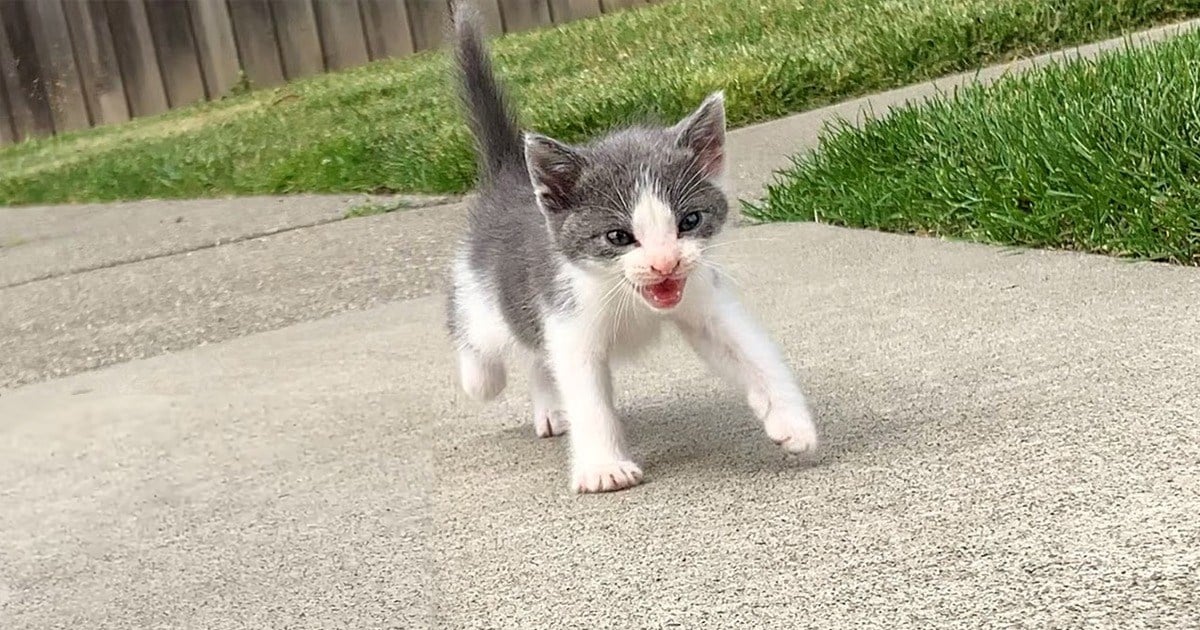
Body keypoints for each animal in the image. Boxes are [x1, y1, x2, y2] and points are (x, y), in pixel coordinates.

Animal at [446, 3, 820, 492]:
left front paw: (792, 422)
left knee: (538, 354)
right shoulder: (568, 313)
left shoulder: (703, 295)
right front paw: (604, 468)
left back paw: (549, 408)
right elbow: (585, 392)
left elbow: (752, 351)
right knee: (479, 332)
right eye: (619, 237)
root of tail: (510, 176)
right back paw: (479, 377)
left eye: (689, 222)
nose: (665, 263)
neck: (631, 298)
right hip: (486, 297)